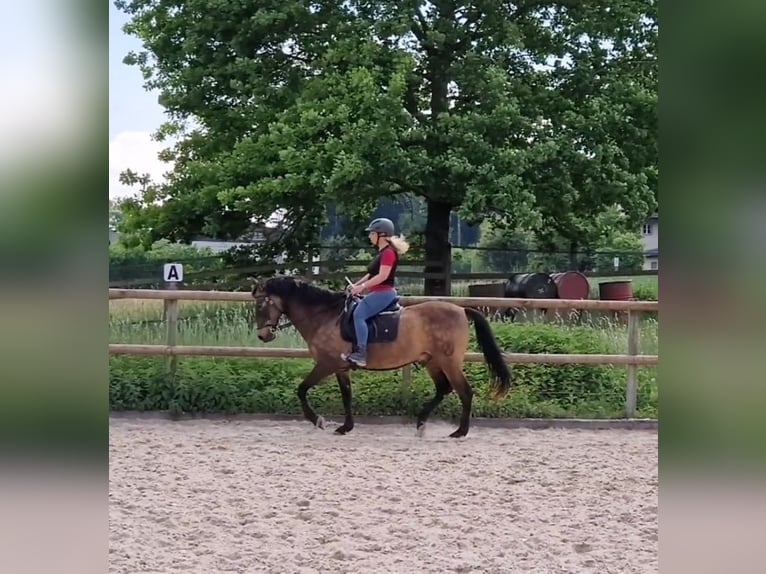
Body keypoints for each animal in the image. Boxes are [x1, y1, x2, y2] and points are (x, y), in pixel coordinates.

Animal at [251, 276, 512, 437]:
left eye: (261, 305)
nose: (263, 335)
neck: (325, 316)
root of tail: (461, 309)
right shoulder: (341, 367)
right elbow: (346, 396)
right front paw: (345, 427)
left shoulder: (326, 364)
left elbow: (301, 389)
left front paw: (318, 420)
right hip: (432, 361)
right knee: (443, 389)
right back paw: (421, 424)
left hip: (449, 362)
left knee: (464, 391)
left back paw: (459, 432)